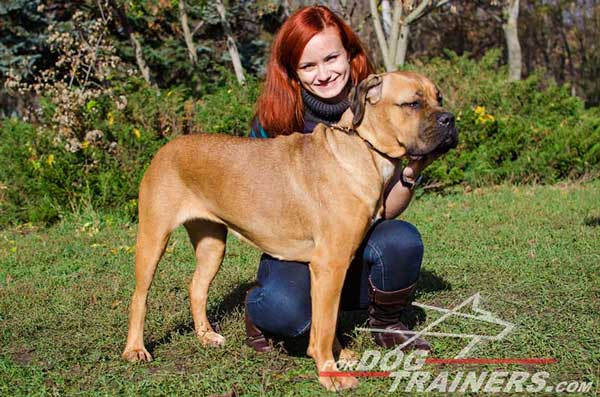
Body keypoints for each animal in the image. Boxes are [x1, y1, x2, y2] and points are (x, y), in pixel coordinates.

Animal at [122, 71, 460, 390]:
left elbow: (327, 319)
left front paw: (340, 355)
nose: (450, 119)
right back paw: (135, 349)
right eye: (412, 103)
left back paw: (206, 336)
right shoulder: (330, 264)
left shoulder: (332, 268)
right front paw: (330, 372)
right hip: (153, 237)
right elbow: (324, 325)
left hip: (212, 244)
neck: (362, 148)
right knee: (140, 296)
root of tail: (165, 148)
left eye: (439, 97)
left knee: (197, 288)